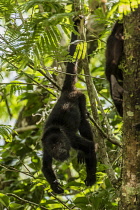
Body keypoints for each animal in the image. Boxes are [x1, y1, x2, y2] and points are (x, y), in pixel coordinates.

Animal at [41, 17, 97, 194]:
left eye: (60, 143)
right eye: (53, 147)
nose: (59, 151)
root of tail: (66, 92)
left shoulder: (70, 138)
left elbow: (90, 146)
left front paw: (91, 177)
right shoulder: (44, 146)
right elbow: (45, 166)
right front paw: (56, 187)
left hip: (80, 97)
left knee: (84, 122)